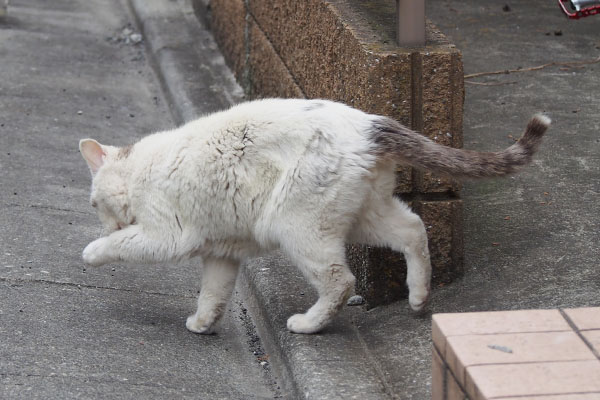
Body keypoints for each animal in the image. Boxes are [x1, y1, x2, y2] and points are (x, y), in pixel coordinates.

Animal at [82, 99, 552, 334]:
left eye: (92, 205)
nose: (100, 218)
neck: (139, 170)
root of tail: (370, 123)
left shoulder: (168, 235)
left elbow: (120, 245)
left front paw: (92, 250)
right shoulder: (222, 253)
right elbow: (212, 294)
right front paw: (202, 323)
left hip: (297, 226)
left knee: (341, 281)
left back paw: (309, 325)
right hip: (367, 214)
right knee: (414, 229)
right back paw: (419, 297)